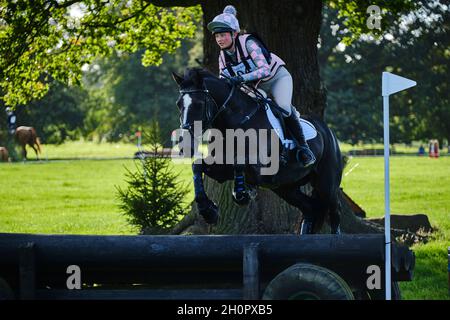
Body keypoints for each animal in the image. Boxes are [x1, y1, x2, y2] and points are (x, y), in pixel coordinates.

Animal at [172, 67, 342, 234]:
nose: (184, 144)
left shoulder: (263, 169)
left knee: (334, 211)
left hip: (327, 185)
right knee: (310, 209)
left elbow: (239, 162)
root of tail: (327, 131)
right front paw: (208, 211)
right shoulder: (221, 169)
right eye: (178, 104)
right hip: (286, 188)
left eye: (199, 104)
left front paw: (241, 194)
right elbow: (197, 166)